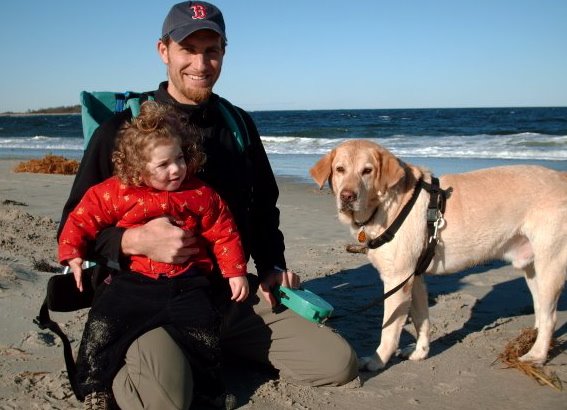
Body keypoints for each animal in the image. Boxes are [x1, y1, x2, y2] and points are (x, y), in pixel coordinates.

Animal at [310, 139, 567, 370]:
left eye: (367, 171)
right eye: (340, 169)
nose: (347, 196)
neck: (386, 206)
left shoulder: (397, 279)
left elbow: (389, 329)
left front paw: (377, 361)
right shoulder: (413, 278)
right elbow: (421, 319)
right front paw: (420, 352)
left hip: (549, 266)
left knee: (550, 318)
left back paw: (535, 355)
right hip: (531, 268)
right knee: (541, 312)